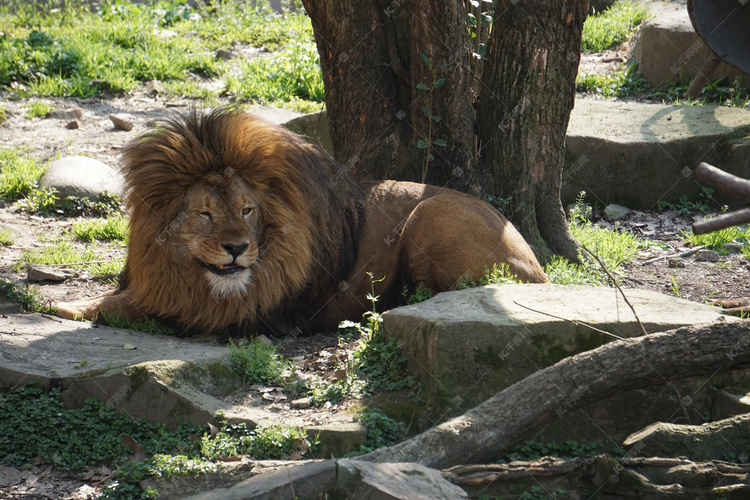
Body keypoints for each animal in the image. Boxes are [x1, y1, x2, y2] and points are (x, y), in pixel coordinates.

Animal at [55, 109, 548, 336]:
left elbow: (127, 307)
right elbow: (124, 296)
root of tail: (538, 266)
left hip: (432, 212)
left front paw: (63, 307)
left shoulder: (232, 314)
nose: (237, 247)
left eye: (247, 210)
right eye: (205, 213)